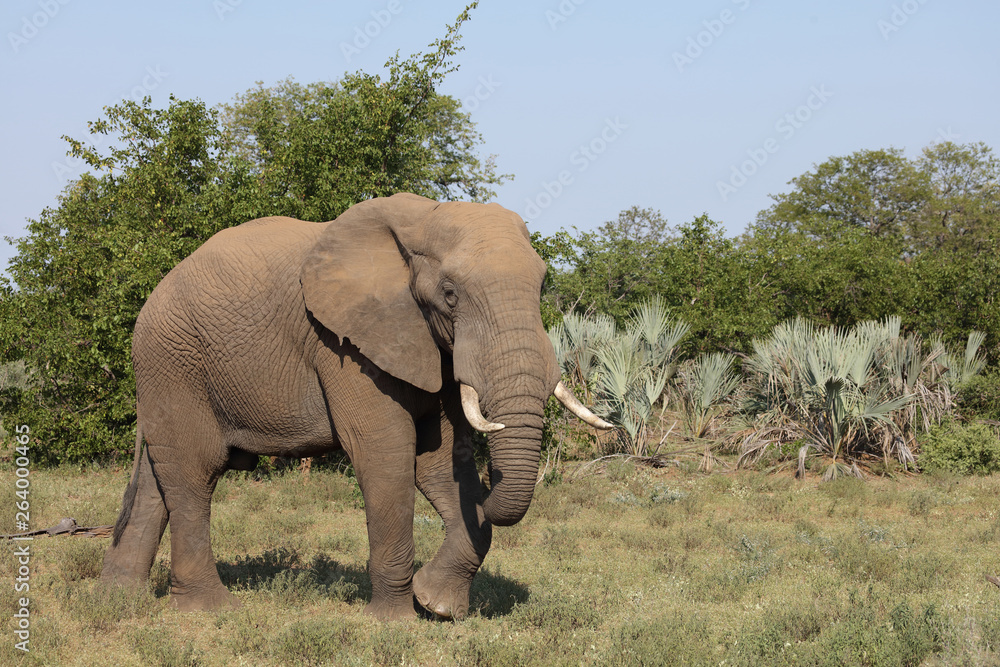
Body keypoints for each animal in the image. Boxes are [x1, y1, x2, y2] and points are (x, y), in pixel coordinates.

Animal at [99, 193, 608, 620]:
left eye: (541, 289)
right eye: (450, 294)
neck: (422, 219)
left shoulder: (429, 346)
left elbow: (443, 461)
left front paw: (438, 605)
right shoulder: (346, 346)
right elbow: (386, 453)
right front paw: (396, 622)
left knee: (158, 479)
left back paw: (121, 598)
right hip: (173, 360)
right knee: (194, 472)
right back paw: (210, 610)